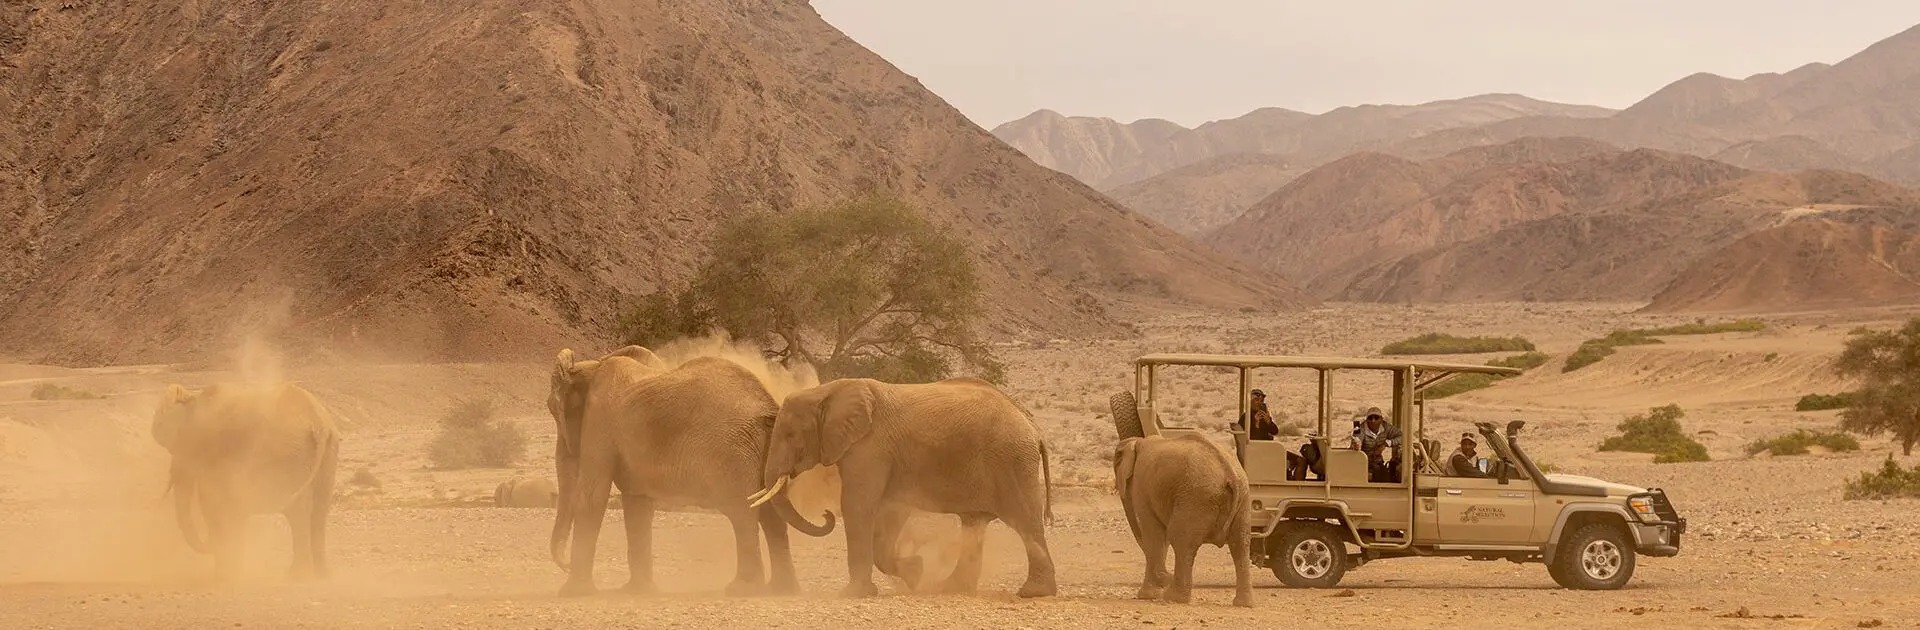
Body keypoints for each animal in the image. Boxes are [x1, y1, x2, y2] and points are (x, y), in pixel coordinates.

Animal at [150, 381, 342, 581]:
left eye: (178, 448)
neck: (193, 398)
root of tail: (319, 424)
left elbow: (213, 507)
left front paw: (223, 574)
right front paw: (232, 571)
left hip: (290, 455)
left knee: (297, 510)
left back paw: (296, 575)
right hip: (328, 450)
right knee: (320, 509)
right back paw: (321, 574)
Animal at [547, 346, 835, 597]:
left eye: (552, 408)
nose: (564, 564)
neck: (592, 366)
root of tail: (769, 405)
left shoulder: (599, 421)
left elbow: (591, 497)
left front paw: (572, 594)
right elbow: (638, 505)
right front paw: (637, 592)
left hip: (733, 454)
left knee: (742, 512)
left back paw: (742, 590)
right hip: (763, 450)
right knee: (770, 513)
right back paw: (782, 590)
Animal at [752, 377, 1057, 598]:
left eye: (791, 435)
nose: (825, 515)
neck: (826, 391)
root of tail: (1033, 425)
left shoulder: (870, 447)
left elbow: (857, 505)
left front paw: (852, 594)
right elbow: (890, 512)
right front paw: (915, 573)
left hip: (1012, 461)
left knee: (1025, 522)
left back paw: (1033, 593)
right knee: (975, 523)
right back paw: (951, 589)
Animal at [1113, 434, 1253, 607]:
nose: (1166, 576)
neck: (1138, 441)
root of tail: (1230, 473)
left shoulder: (1141, 485)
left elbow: (1153, 533)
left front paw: (1147, 595)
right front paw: (1149, 594)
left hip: (1196, 499)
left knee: (1180, 540)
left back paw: (1173, 597)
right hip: (1243, 498)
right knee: (1240, 543)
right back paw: (1243, 603)